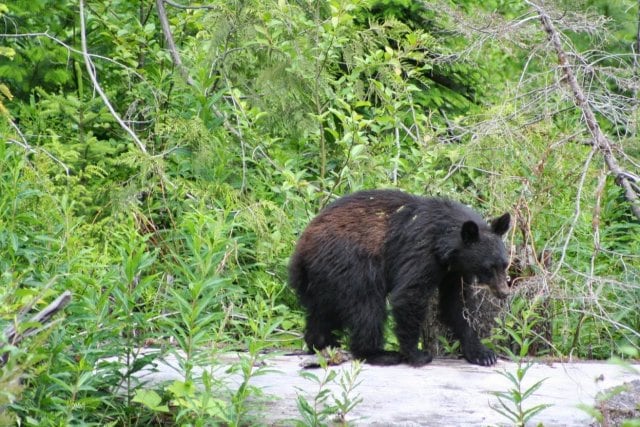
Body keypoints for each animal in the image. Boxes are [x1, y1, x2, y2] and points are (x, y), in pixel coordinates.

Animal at [288, 191, 510, 368]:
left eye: (504, 264)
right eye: (489, 267)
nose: (504, 293)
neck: (445, 243)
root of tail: (301, 251)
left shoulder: (454, 272)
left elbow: (457, 304)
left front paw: (482, 353)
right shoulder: (420, 251)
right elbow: (410, 294)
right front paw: (417, 354)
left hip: (322, 279)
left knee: (322, 312)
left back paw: (322, 343)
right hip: (350, 263)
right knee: (367, 306)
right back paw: (378, 354)